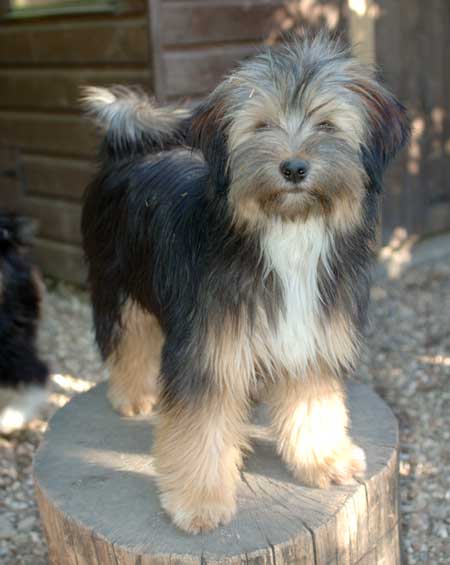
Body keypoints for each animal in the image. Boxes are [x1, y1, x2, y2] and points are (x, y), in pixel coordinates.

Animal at [81, 32, 408, 532]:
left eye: (327, 125)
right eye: (261, 126)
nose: (294, 168)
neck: (287, 231)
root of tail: (128, 152)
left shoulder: (308, 336)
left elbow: (313, 404)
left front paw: (324, 459)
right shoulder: (208, 349)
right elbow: (200, 428)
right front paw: (199, 500)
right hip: (114, 281)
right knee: (128, 337)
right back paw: (133, 394)